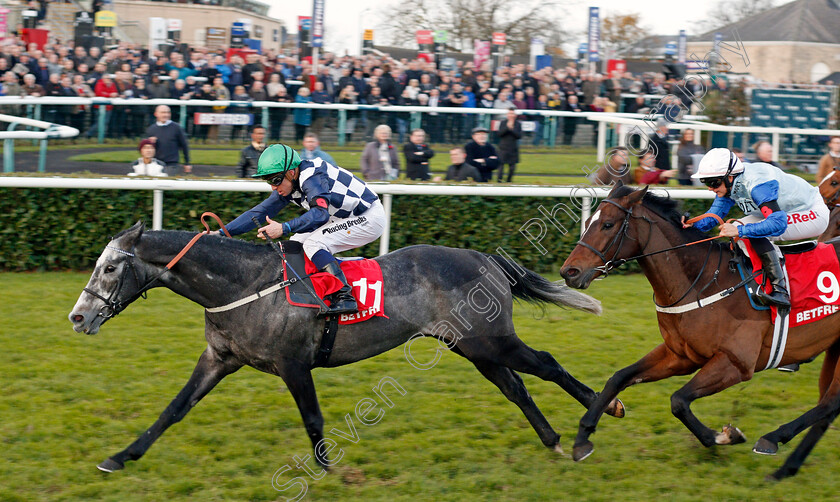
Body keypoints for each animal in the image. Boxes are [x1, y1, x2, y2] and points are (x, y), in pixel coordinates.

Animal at [69, 224, 624, 474]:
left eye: (111, 267)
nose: (78, 317)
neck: (242, 284)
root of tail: (485, 257)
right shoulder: (220, 359)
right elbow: (173, 409)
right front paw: (121, 456)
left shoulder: (293, 363)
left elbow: (312, 417)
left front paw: (327, 469)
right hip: (473, 346)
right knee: (515, 387)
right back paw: (553, 438)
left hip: (490, 339)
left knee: (545, 365)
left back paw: (600, 414)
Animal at [556, 183, 840, 478]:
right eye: (588, 221)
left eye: (608, 224)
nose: (569, 272)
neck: (701, 282)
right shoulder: (680, 356)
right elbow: (619, 378)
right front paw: (582, 438)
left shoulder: (736, 363)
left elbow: (678, 400)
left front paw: (724, 436)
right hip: (834, 347)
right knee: (829, 405)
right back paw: (786, 465)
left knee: (829, 403)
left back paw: (772, 441)